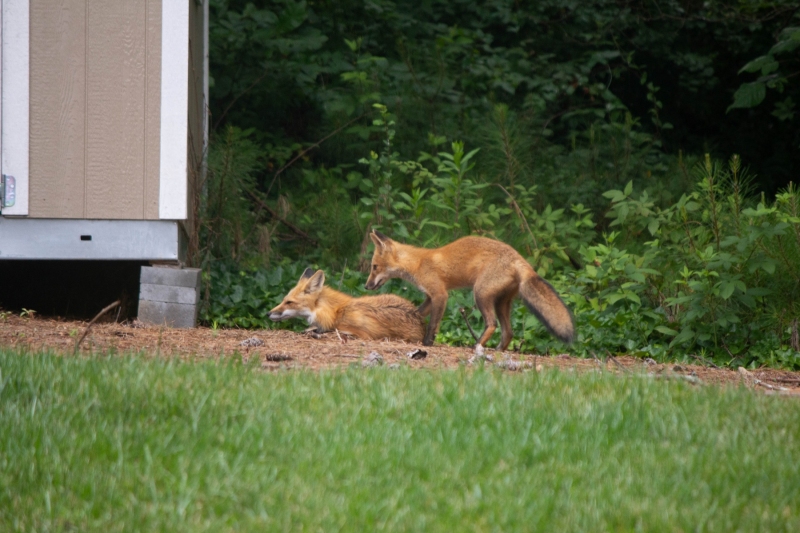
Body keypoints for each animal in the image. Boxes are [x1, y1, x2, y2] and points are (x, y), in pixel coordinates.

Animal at [364, 230, 575, 352]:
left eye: (374, 267)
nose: (366, 286)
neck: (418, 263)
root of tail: (519, 259)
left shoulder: (440, 294)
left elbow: (433, 324)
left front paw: (427, 343)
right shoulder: (430, 297)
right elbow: (416, 313)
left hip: (480, 294)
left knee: (492, 324)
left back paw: (477, 345)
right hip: (501, 302)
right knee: (508, 332)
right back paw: (497, 350)